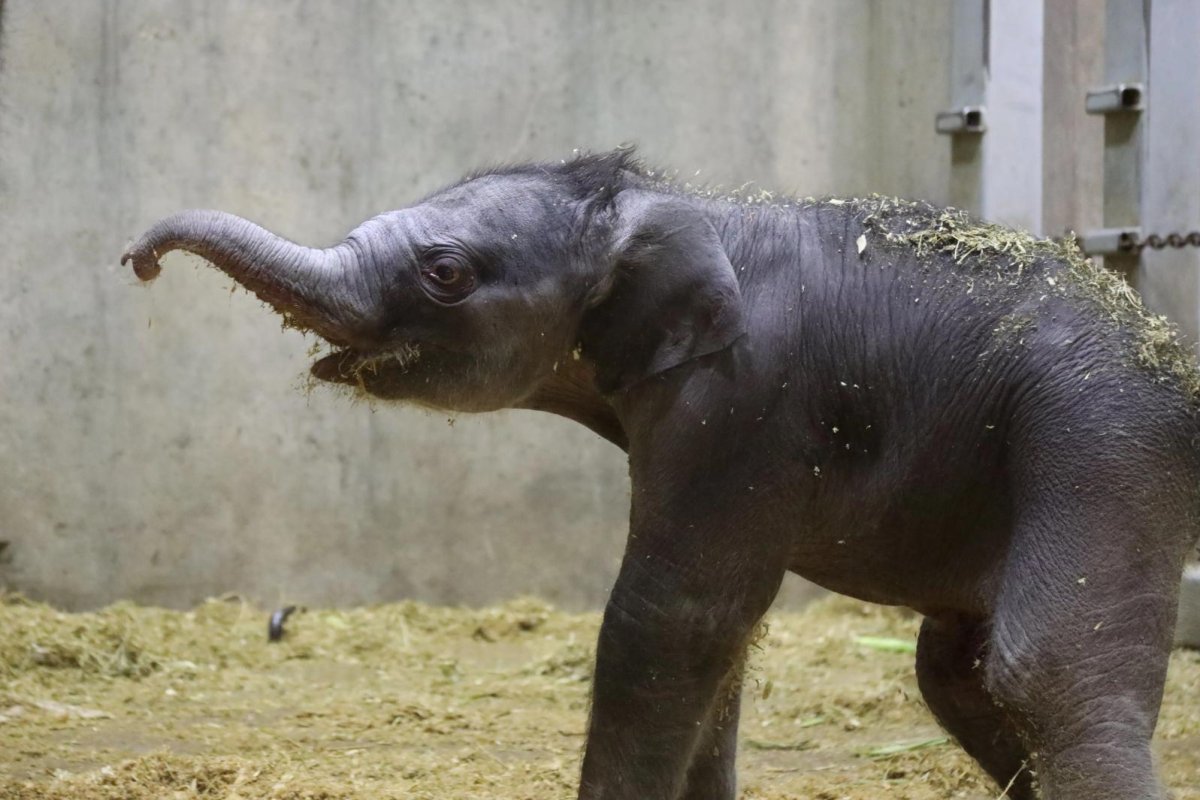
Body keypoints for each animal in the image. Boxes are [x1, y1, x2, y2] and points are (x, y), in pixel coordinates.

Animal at [126, 151, 1195, 800]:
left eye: (446, 273)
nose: (137, 259)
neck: (672, 209)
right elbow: (721, 636)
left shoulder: (743, 403)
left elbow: (667, 618)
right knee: (953, 666)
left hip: (1104, 440)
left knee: (1047, 666)